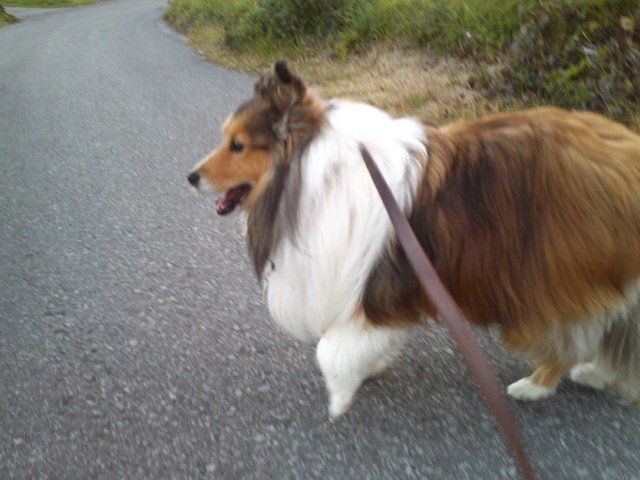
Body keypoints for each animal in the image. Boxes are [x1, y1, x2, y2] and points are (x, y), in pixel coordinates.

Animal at [188, 61, 640, 419]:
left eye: (238, 145)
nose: (191, 176)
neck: (311, 171)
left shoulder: (368, 285)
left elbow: (330, 349)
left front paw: (340, 396)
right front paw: (366, 368)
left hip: (542, 278)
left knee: (575, 336)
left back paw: (536, 385)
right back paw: (596, 373)